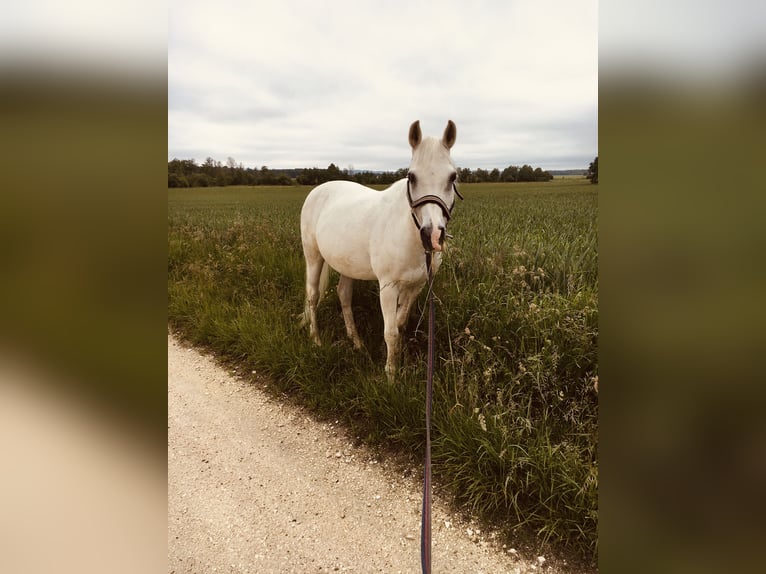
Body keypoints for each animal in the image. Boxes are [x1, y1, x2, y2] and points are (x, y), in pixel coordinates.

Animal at [299, 120, 462, 379]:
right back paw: (315, 340)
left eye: (452, 176)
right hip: (313, 257)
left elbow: (400, 324)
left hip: (347, 264)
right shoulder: (388, 287)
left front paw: (399, 362)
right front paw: (391, 376)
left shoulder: (416, 286)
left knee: (343, 294)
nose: (432, 235)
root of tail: (318, 190)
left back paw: (356, 342)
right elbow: (391, 332)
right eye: (411, 176)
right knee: (313, 296)